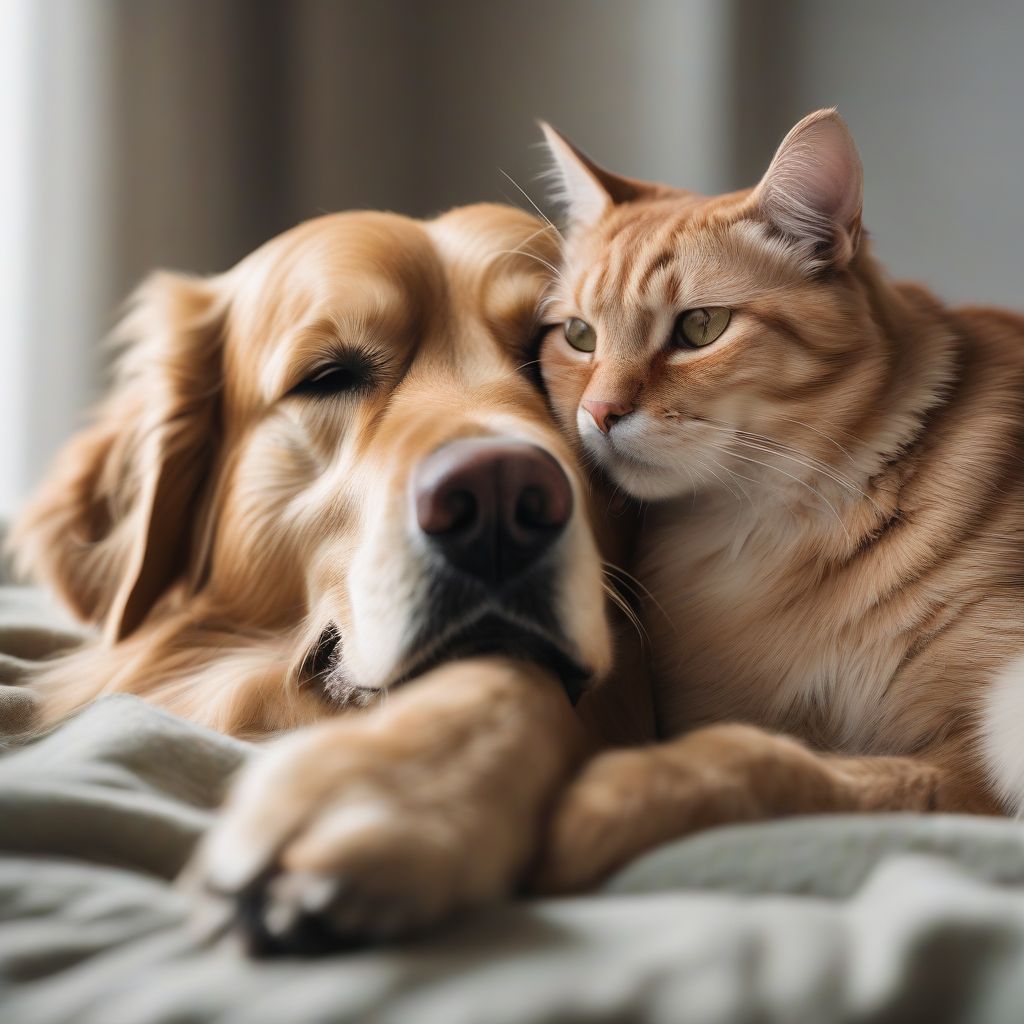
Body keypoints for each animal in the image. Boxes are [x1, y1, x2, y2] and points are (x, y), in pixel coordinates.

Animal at [532, 112, 1024, 892]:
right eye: (579, 336)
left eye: (701, 328)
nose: (600, 413)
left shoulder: (972, 765)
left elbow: (774, 765)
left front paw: (613, 800)